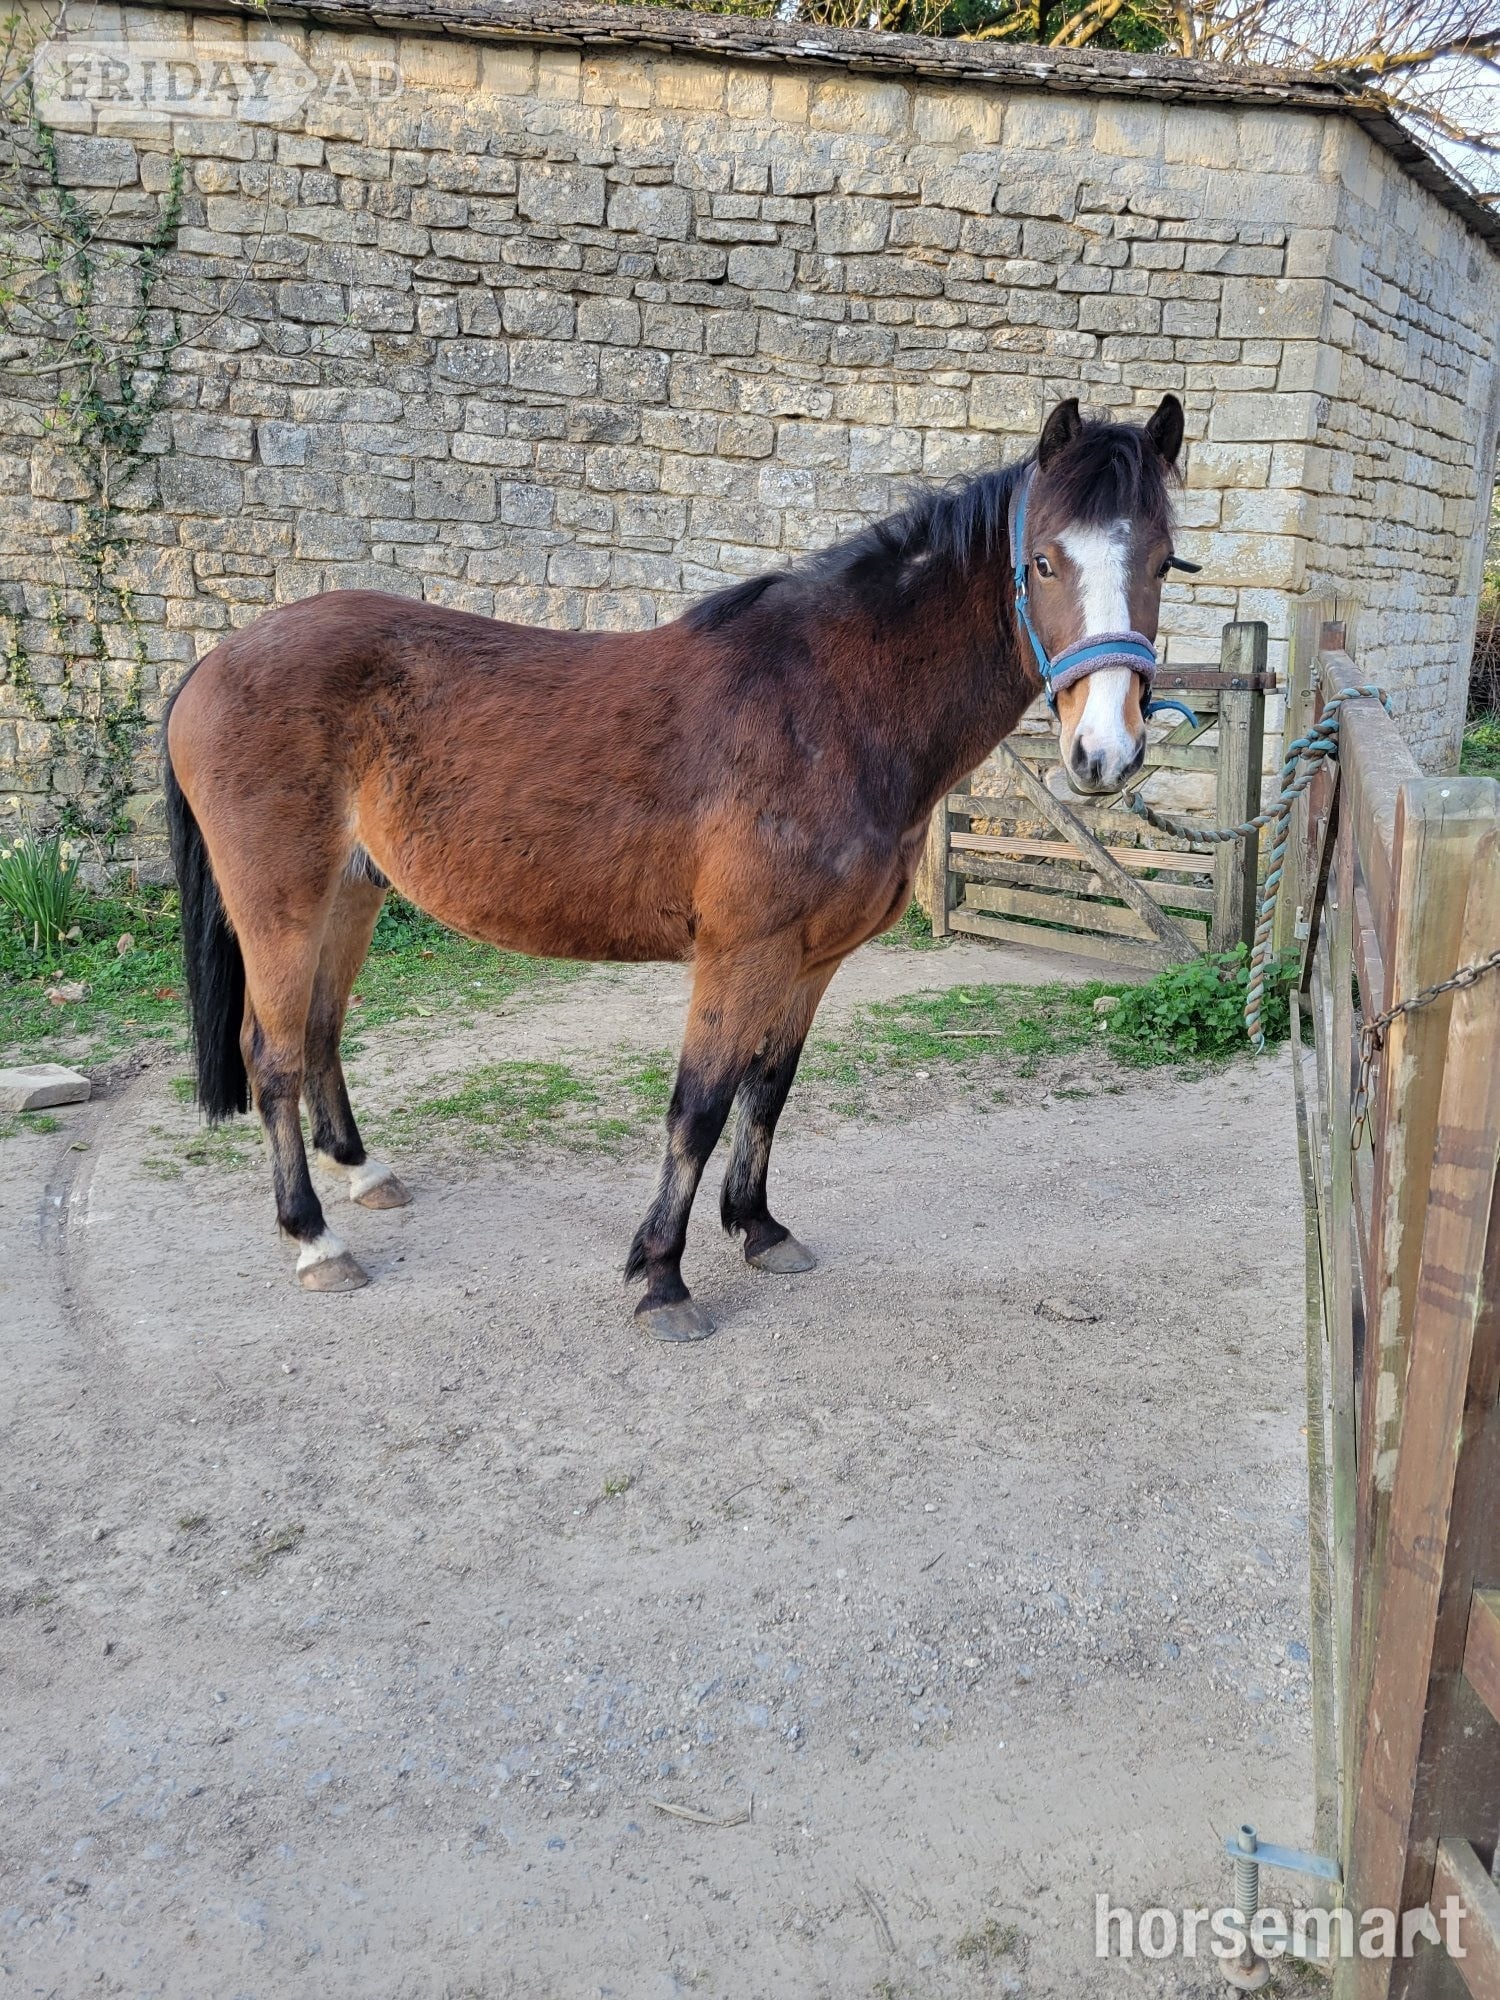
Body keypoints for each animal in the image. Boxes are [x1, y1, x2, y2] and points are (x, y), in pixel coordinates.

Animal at [163, 392, 1186, 1339]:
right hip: (281, 905)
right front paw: (662, 1277)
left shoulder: (811, 959)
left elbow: (768, 1092)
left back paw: (363, 1173)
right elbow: (699, 1106)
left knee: (321, 1032)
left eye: (1163, 562)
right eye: (1045, 560)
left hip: (350, 895)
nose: (1105, 753)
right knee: (274, 1055)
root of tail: (216, 661)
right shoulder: (741, 951)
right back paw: (314, 1239)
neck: (829, 703)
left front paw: (760, 1228)